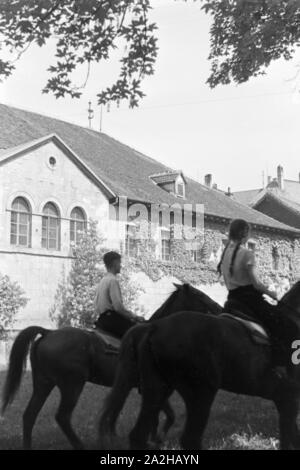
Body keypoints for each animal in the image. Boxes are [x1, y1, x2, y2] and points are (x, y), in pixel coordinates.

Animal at [1, 280, 221, 450]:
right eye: (199, 294)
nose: (219, 308)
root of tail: (48, 333)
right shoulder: (156, 386)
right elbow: (166, 415)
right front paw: (156, 439)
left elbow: (159, 415)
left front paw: (153, 439)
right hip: (72, 385)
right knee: (62, 417)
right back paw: (80, 445)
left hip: (43, 383)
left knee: (29, 415)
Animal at [100, 280, 300, 450]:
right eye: (201, 296)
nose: (218, 307)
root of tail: (153, 328)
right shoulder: (288, 398)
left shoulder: (284, 399)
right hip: (200, 395)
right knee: (189, 439)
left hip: (156, 391)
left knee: (138, 434)